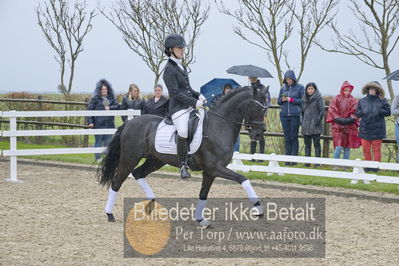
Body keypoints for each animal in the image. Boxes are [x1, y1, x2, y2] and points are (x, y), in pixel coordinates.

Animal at [98, 85, 270, 227]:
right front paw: (258, 208)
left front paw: (201, 219)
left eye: (266, 109)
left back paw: (151, 205)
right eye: (257, 107)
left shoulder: (210, 172)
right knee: (117, 181)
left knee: (138, 173)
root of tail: (130, 122)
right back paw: (110, 214)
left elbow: (203, 194)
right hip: (130, 158)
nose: (258, 134)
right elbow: (243, 179)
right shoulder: (216, 168)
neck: (219, 125)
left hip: (156, 160)